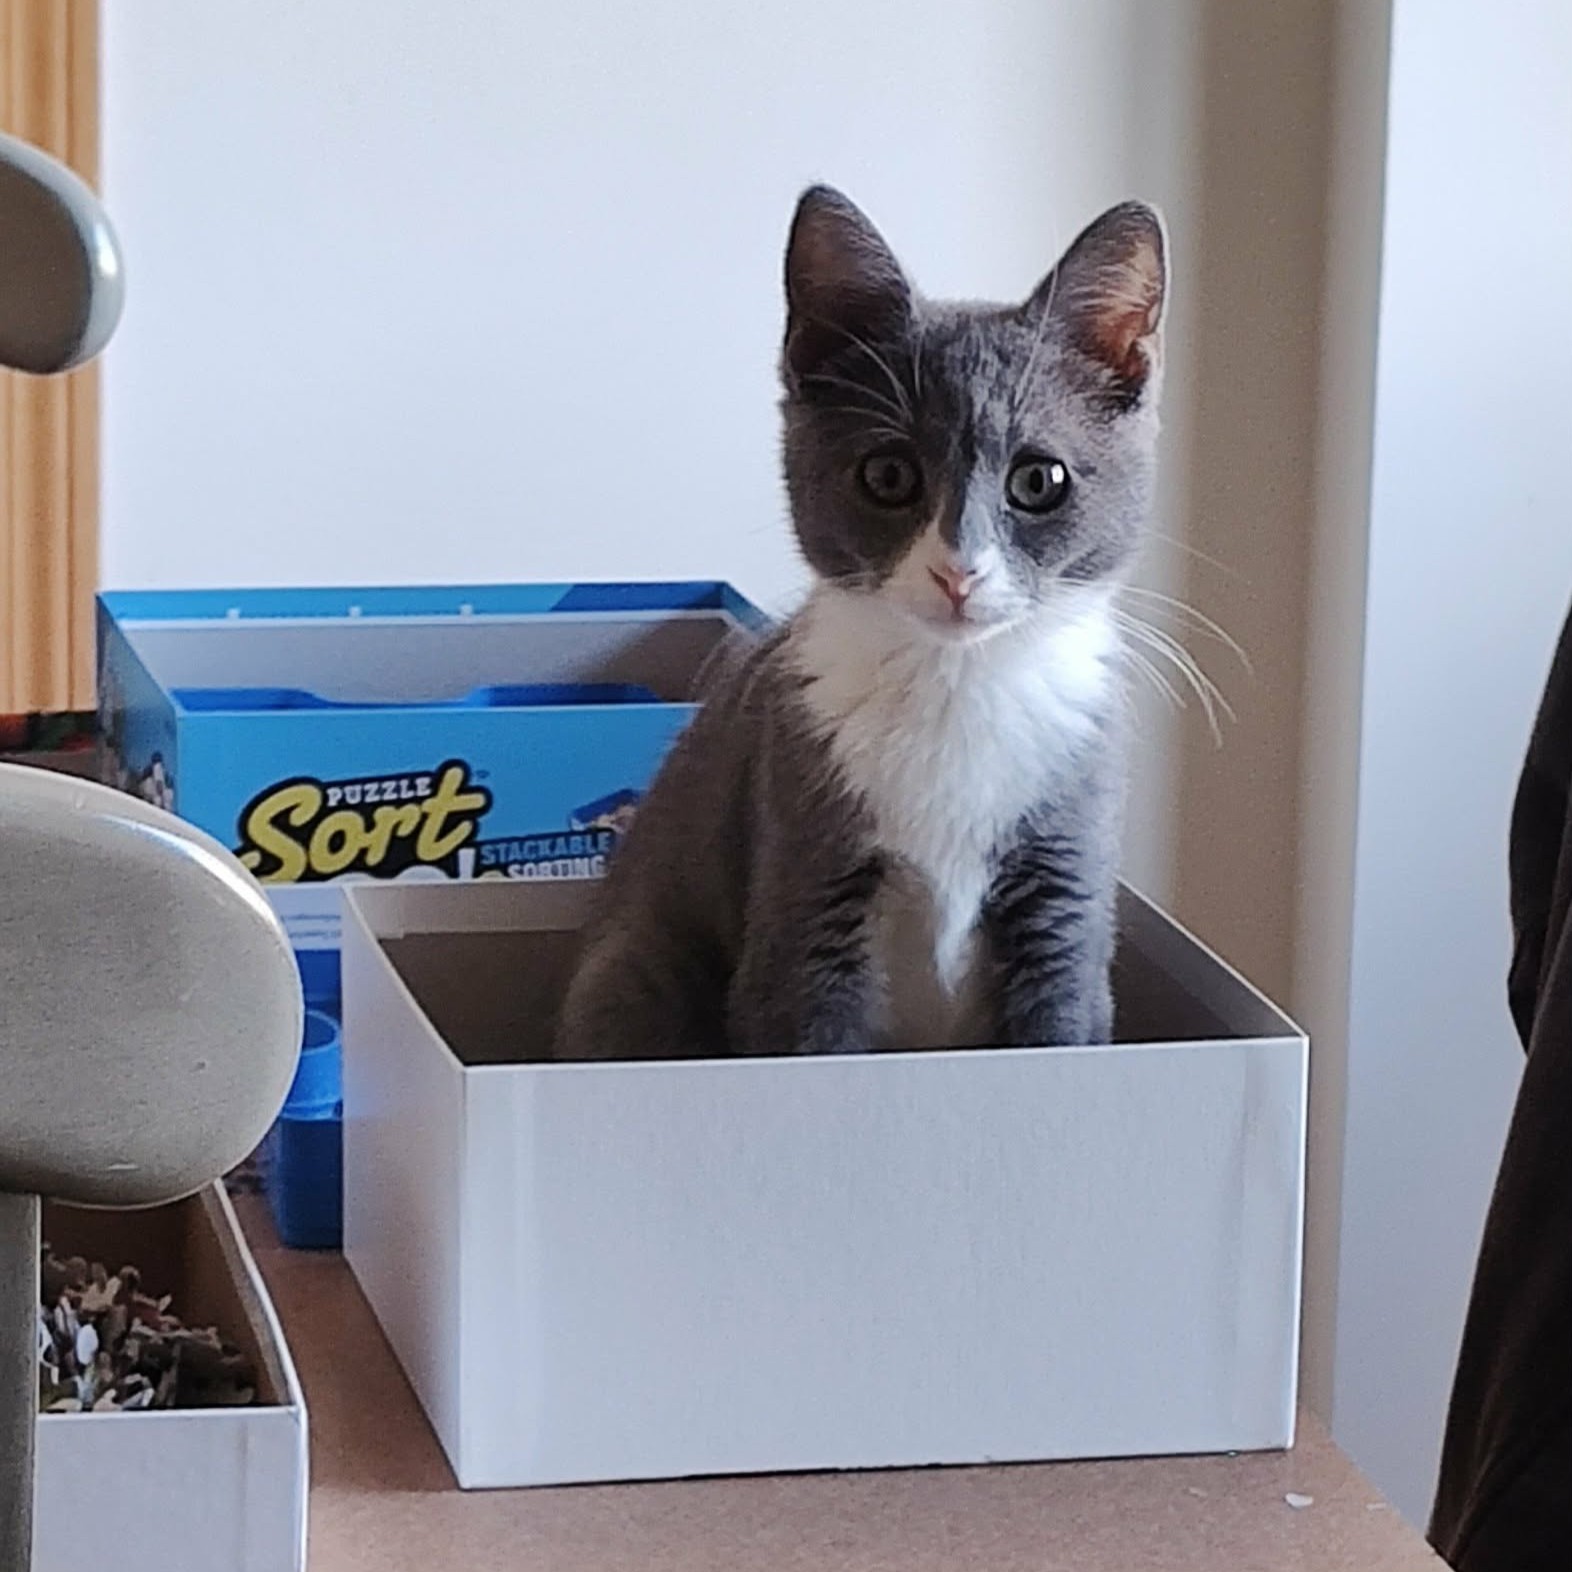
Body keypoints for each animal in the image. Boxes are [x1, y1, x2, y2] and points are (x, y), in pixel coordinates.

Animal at [554, 185, 1167, 1060]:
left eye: (1040, 481)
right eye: (887, 475)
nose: (958, 571)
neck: (955, 688)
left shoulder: (1066, 893)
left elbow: (1062, 1019)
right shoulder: (803, 882)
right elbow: (804, 1022)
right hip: (634, 967)